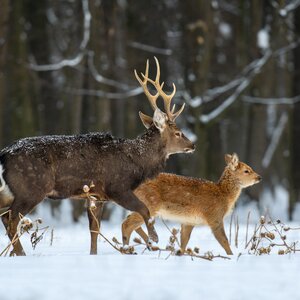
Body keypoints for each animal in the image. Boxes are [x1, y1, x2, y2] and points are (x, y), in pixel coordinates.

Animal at [0, 57, 195, 254]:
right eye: (178, 133)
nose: (193, 145)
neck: (137, 160)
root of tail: (4, 154)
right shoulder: (117, 187)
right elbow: (144, 209)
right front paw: (154, 239)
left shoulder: (96, 196)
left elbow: (94, 229)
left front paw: (93, 254)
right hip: (31, 188)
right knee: (11, 220)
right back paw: (21, 254)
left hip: (11, 191)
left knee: (5, 217)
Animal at [121, 154, 260, 254]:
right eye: (247, 170)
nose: (259, 177)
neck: (223, 194)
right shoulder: (214, 216)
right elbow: (224, 240)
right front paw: (231, 257)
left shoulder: (188, 221)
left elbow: (184, 241)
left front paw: (180, 254)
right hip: (150, 204)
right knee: (126, 224)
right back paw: (128, 249)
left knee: (133, 223)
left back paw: (149, 245)